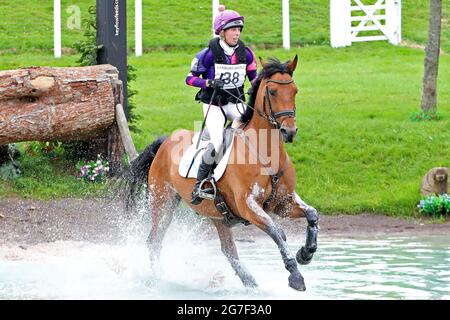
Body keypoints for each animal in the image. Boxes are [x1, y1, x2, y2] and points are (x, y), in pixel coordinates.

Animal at [123, 55, 320, 292]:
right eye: (272, 92)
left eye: (294, 90)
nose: (289, 132)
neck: (265, 153)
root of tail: (165, 142)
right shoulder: (249, 206)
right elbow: (277, 232)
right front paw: (295, 275)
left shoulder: (283, 202)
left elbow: (312, 214)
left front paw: (306, 253)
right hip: (163, 202)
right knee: (154, 240)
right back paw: (158, 280)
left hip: (217, 213)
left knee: (229, 251)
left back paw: (251, 284)